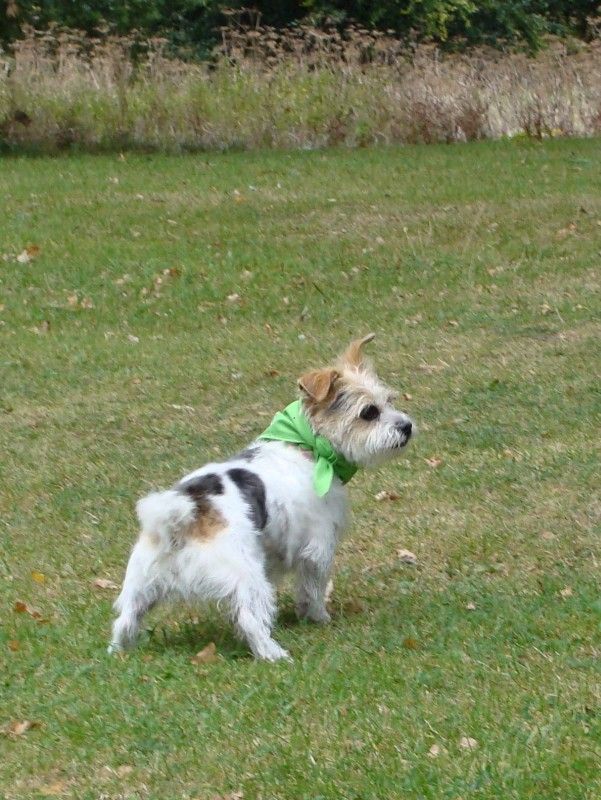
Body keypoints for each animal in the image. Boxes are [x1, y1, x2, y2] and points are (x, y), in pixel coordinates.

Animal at [108, 334, 412, 660]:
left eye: (390, 400)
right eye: (369, 412)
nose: (407, 426)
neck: (308, 445)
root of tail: (183, 517)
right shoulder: (317, 548)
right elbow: (313, 589)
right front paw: (319, 618)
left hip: (141, 584)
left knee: (125, 620)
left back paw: (117, 653)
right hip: (248, 579)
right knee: (250, 619)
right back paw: (272, 653)